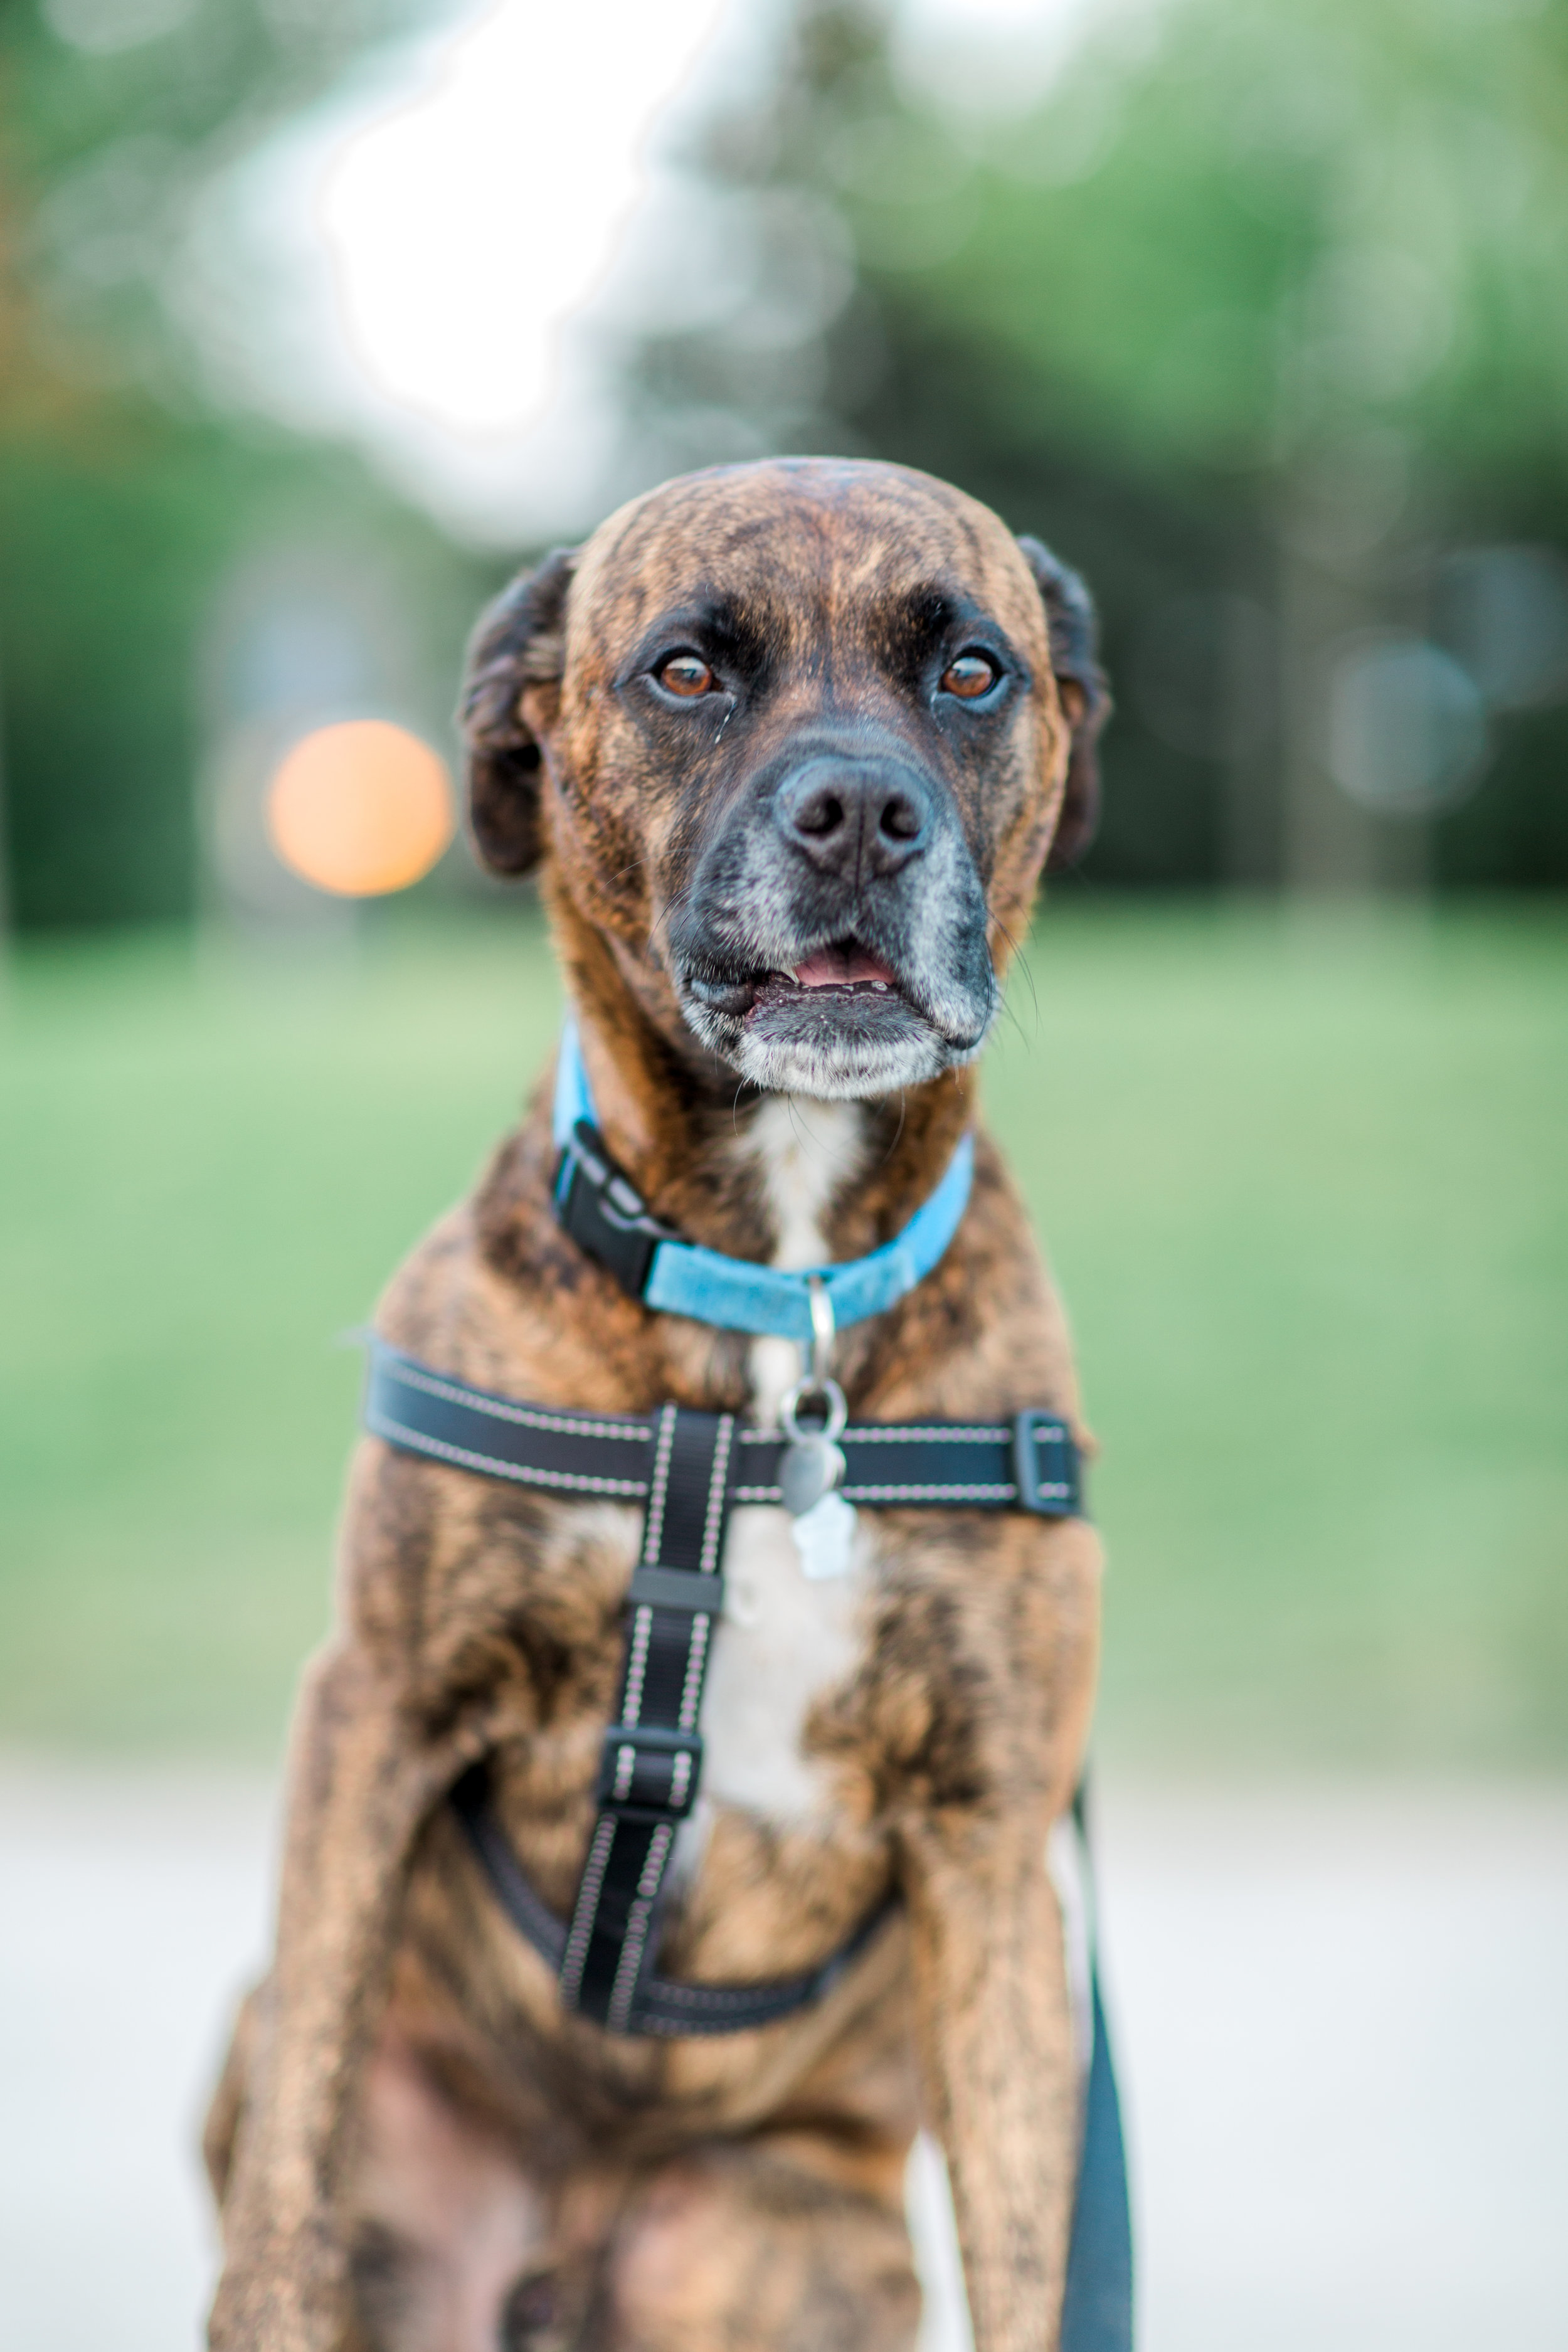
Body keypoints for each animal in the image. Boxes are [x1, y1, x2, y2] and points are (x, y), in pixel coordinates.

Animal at [208, 453, 1110, 2352]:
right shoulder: (376, 1708)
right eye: (687, 670)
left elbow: (1033, 2245)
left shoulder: (993, 1848)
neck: (777, 1304)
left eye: (972, 672)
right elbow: (287, 2195)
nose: (860, 810)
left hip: (784, 2240)